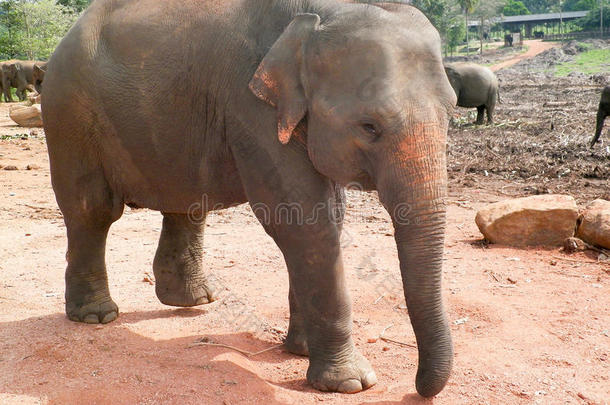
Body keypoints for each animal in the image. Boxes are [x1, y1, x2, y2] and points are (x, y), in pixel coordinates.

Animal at [42, 0, 456, 398]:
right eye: (369, 127)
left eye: (451, 112)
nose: (419, 389)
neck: (318, 15)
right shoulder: (251, 109)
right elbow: (303, 221)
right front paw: (351, 383)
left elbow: (328, 219)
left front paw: (301, 351)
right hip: (69, 114)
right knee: (92, 209)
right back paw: (96, 316)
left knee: (186, 203)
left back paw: (193, 301)